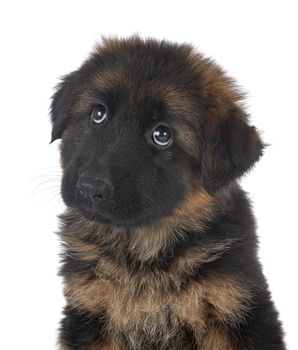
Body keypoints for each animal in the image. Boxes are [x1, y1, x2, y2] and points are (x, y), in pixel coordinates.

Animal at [50, 36, 284, 350]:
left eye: (162, 135)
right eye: (98, 114)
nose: (90, 187)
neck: (145, 253)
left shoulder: (237, 308)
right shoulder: (90, 313)